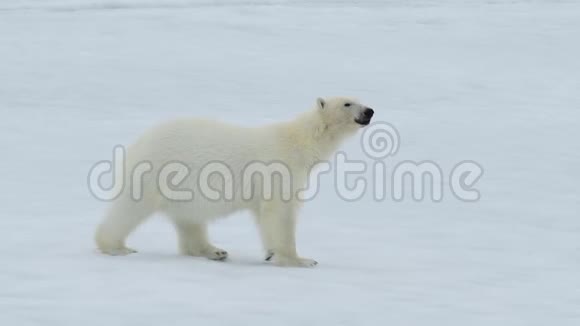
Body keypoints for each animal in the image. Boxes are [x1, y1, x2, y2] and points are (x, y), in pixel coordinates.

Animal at [95, 97, 374, 268]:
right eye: (348, 103)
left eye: (360, 100)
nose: (369, 111)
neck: (299, 143)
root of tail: (138, 142)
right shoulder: (279, 169)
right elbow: (280, 213)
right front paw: (299, 259)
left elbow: (265, 216)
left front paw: (271, 253)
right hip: (156, 171)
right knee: (131, 208)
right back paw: (116, 247)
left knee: (190, 220)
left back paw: (214, 251)